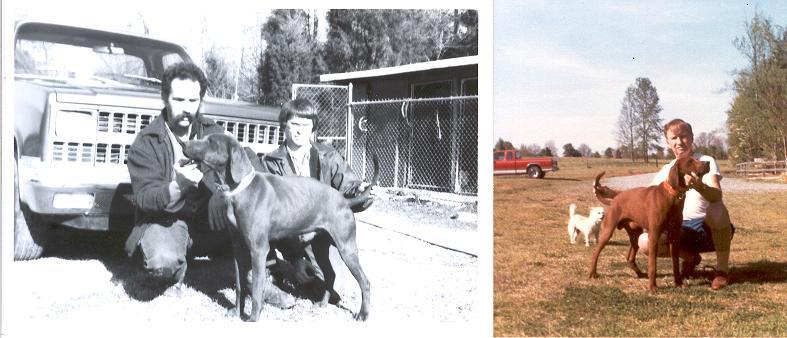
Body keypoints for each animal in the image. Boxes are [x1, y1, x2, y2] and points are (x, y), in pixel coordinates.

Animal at [186, 133, 380, 320]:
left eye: (211, 141)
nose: (183, 143)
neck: (240, 190)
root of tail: (345, 201)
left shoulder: (258, 249)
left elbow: (257, 287)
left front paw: (253, 318)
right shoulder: (238, 247)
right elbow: (240, 285)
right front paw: (236, 312)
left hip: (346, 247)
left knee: (365, 282)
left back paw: (363, 315)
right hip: (320, 246)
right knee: (330, 274)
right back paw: (323, 304)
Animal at [588, 157, 712, 292]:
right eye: (690, 161)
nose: (708, 162)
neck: (673, 196)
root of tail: (614, 199)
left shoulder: (674, 237)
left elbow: (675, 262)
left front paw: (678, 283)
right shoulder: (654, 236)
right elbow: (653, 264)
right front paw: (652, 287)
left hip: (635, 236)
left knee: (630, 258)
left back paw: (640, 274)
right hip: (608, 232)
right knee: (595, 253)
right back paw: (592, 273)